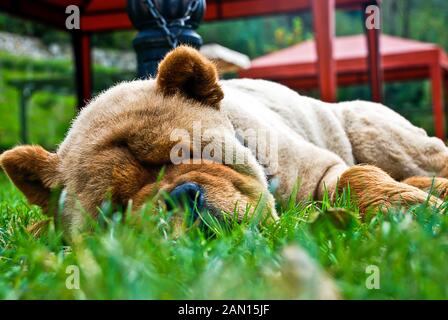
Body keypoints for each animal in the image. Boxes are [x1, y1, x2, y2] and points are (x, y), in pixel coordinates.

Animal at [0, 45, 448, 238]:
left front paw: (409, 212)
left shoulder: (322, 170)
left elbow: (357, 178)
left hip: (378, 132)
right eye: (115, 210)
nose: (180, 197)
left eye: (189, 154)